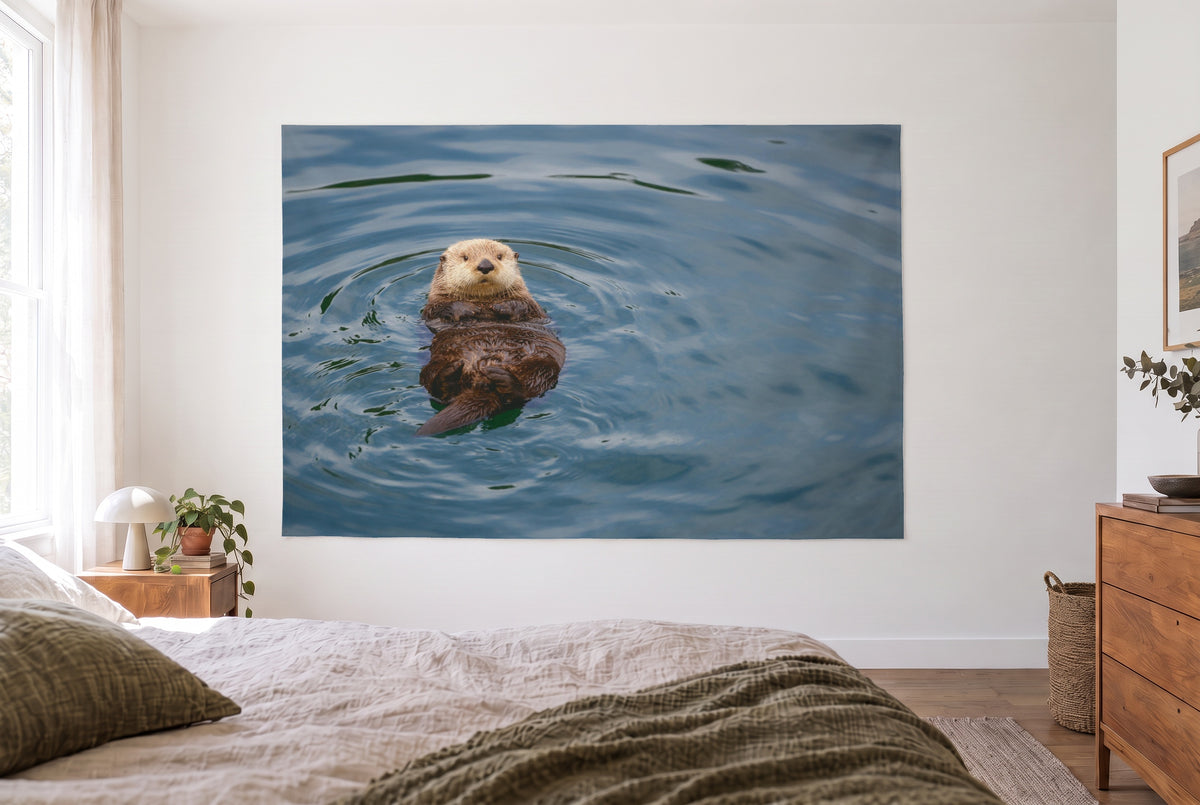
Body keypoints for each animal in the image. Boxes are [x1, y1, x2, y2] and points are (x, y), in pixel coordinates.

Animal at [416, 239, 565, 436]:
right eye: (465, 257)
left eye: (499, 256)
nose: (485, 265)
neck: (484, 302)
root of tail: (481, 384)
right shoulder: (431, 309)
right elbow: (439, 309)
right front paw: (465, 309)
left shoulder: (534, 307)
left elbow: (525, 306)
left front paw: (503, 307)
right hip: (434, 363)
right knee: (434, 386)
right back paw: (450, 374)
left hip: (543, 365)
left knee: (523, 392)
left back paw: (502, 379)